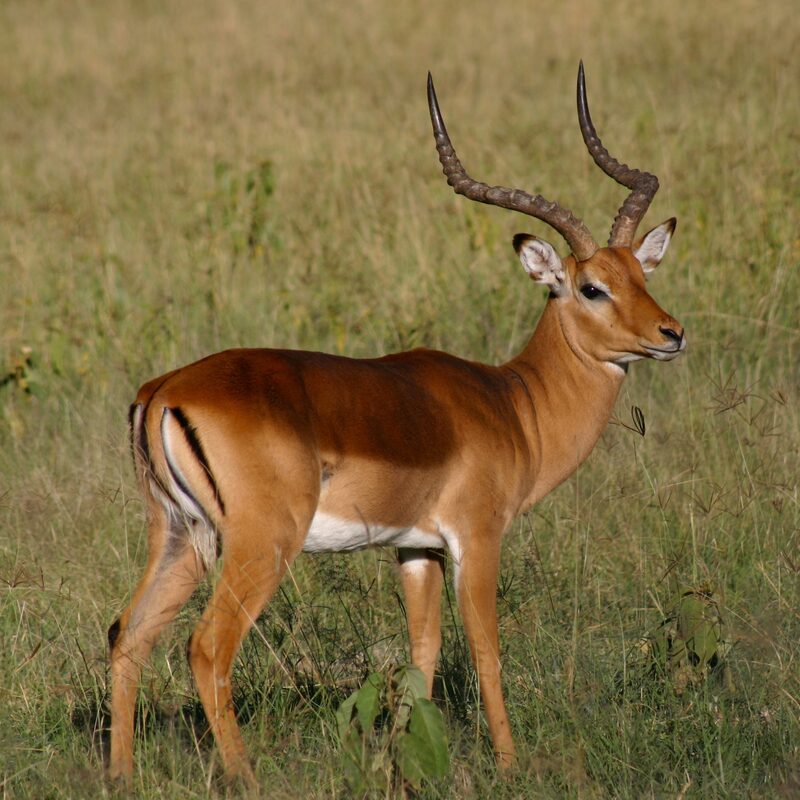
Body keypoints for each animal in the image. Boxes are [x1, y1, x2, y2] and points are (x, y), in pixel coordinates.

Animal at [108, 63, 685, 783]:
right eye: (592, 287)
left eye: (641, 274)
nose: (671, 334)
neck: (511, 403)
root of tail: (163, 390)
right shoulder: (476, 540)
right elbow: (487, 651)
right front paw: (508, 766)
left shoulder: (415, 549)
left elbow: (422, 656)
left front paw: (404, 766)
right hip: (259, 545)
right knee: (207, 646)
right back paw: (245, 777)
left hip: (181, 537)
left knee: (127, 635)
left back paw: (119, 774)